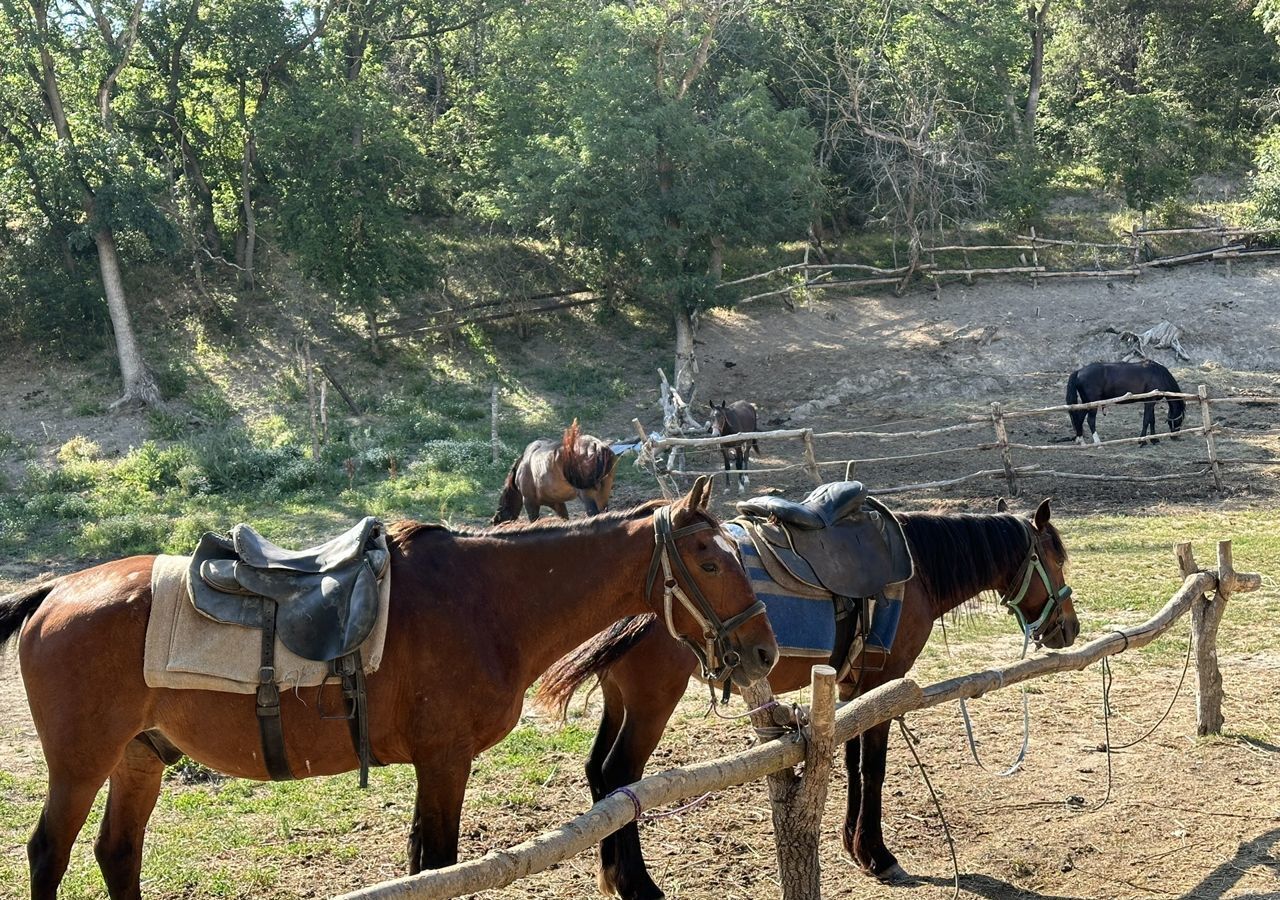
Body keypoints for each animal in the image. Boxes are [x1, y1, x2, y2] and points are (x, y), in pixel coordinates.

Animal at [2, 478, 778, 900]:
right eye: (711, 560)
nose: (765, 649)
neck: (485, 601)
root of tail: (53, 593)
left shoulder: (436, 766)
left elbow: (421, 867)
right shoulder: (445, 761)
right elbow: (438, 867)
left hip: (139, 758)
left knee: (116, 854)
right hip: (81, 766)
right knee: (49, 854)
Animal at [537, 499, 1080, 900]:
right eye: (1056, 559)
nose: (1069, 628)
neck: (917, 569)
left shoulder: (852, 688)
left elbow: (853, 762)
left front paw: (854, 847)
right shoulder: (885, 683)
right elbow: (874, 767)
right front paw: (878, 855)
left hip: (621, 697)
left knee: (598, 774)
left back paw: (611, 876)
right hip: (652, 701)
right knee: (620, 776)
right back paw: (636, 885)